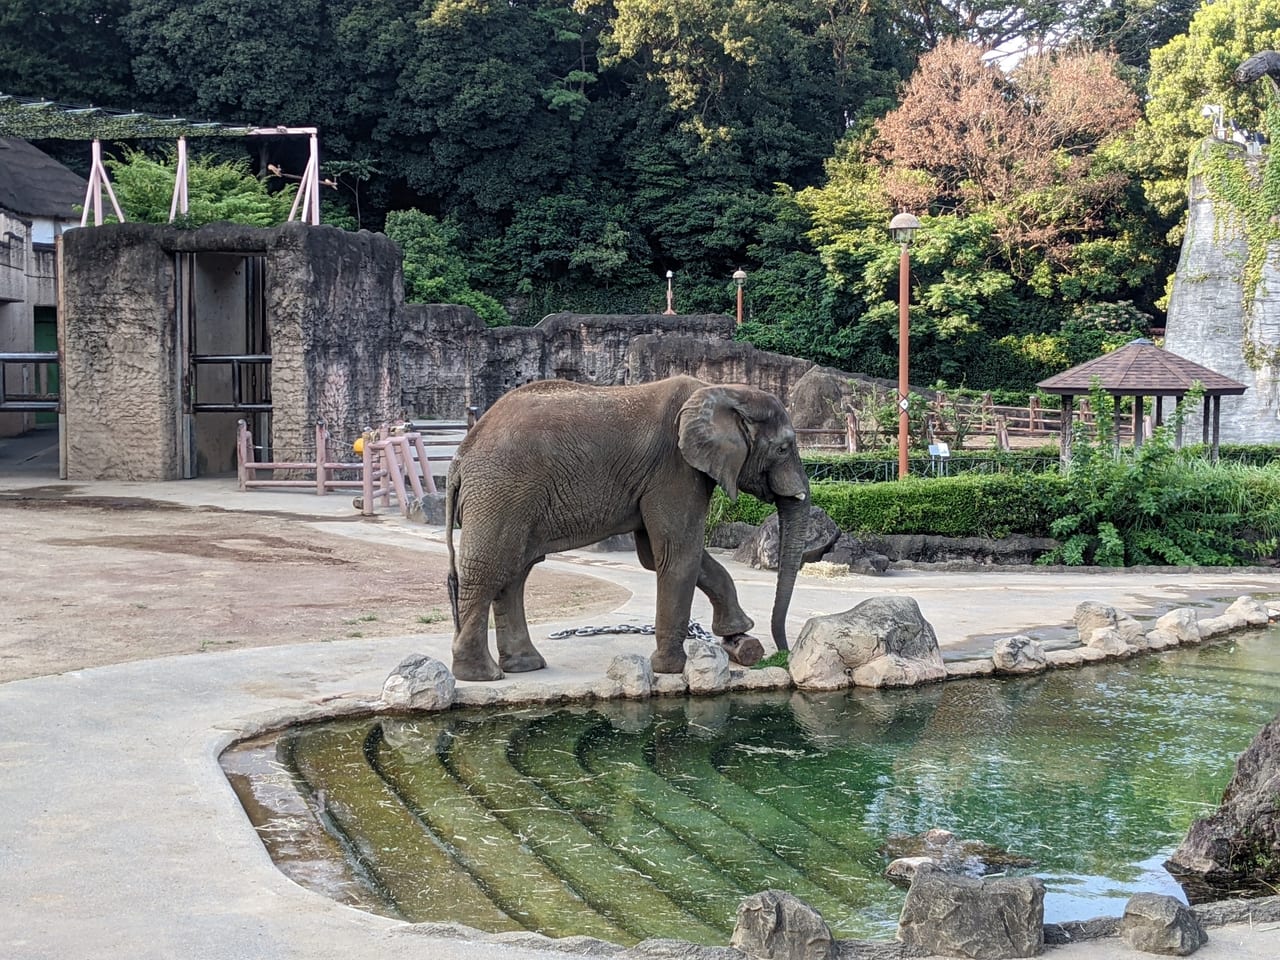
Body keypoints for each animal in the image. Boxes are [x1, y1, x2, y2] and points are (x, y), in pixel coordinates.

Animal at [445, 376, 808, 686]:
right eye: (783, 448)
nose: (782, 651)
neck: (722, 390)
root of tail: (460, 456)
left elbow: (658, 556)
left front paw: (737, 633)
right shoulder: (675, 468)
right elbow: (678, 554)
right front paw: (673, 668)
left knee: (514, 573)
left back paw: (525, 666)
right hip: (501, 491)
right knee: (490, 570)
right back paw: (482, 675)